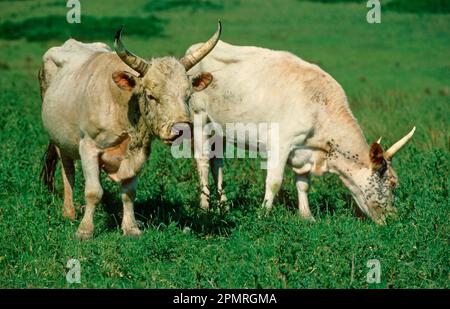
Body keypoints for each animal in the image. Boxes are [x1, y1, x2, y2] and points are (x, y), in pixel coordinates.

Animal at [40, 22, 221, 238]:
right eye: (151, 96)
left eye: (188, 95)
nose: (181, 129)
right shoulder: (88, 148)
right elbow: (93, 191)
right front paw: (85, 230)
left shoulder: (138, 154)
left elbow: (128, 193)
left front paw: (130, 227)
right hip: (60, 141)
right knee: (68, 171)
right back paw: (69, 212)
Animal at [185, 41, 414, 224]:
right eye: (393, 183)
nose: (393, 219)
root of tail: (195, 48)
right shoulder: (281, 142)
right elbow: (274, 181)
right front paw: (262, 215)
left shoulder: (303, 150)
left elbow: (303, 184)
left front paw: (307, 216)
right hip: (200, 117)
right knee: (202, 160)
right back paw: (205, 207)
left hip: (220, 129)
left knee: (217, 163)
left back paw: (223, 206)